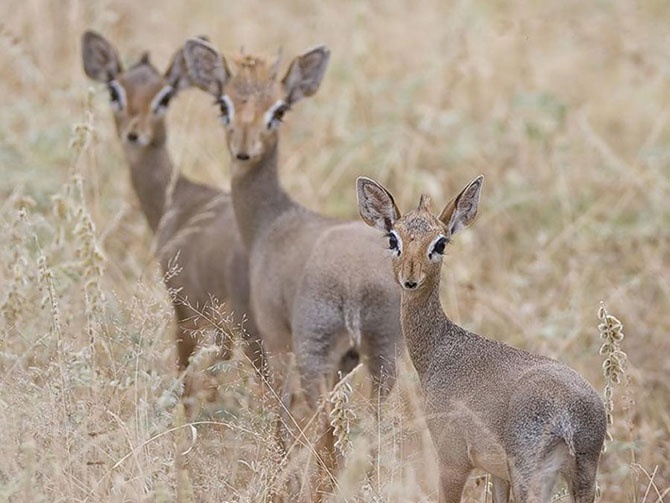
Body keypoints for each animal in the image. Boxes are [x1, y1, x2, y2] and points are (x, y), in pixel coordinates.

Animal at [360, 175, 612, 502]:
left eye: (440, 242)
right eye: (393, 239)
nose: (410, 280)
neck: (440, 350)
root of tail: (571, 414)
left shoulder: (453, 461)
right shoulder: (497, 474)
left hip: (530, 475)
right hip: (582, 477)